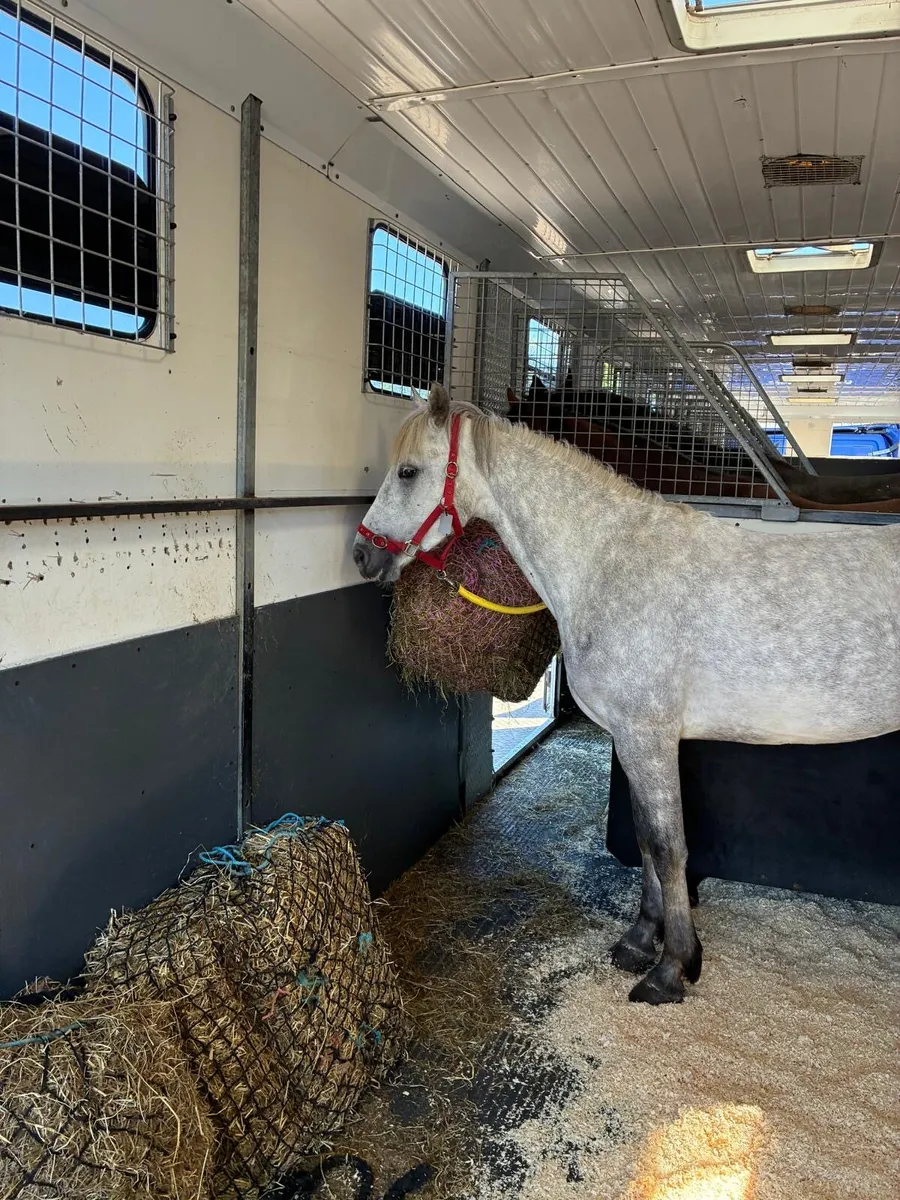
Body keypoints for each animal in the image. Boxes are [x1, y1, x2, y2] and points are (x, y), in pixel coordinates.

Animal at [353, 384, 900, 1005]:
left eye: (408, 471)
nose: (362, 554)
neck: (609, 563)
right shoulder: (632, 741)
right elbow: (642, 840)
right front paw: (640, 941)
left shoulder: (649, 737)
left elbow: (667, 846)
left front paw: (672, 968)